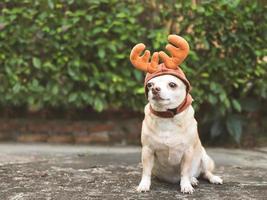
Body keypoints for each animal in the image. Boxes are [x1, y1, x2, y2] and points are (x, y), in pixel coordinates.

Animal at [130, 34, 224, 194]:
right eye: (149, 85)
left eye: (172, 85)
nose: (154, 89)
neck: (167, 116)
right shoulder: (147, 151)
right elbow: (146, 171)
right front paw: (144, 185)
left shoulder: (187, 152)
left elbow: (184, 171)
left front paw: (185, 185)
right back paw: (193, 180)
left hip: (205, 158)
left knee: (205, 172)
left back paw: (207, 179)